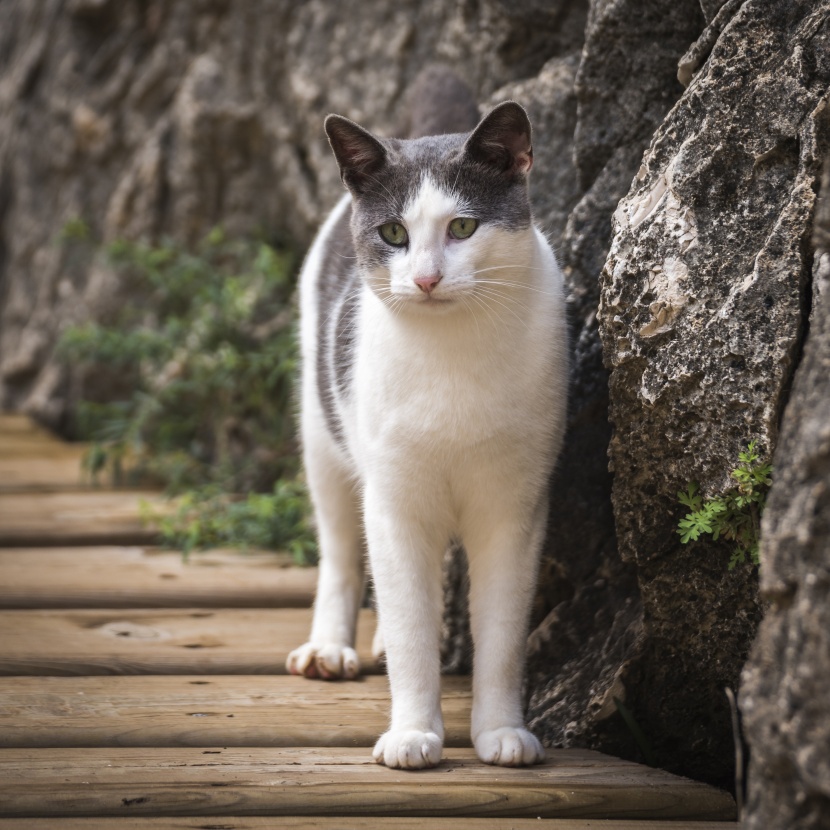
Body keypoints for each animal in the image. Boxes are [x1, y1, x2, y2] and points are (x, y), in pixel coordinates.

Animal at [288, 75, 572, 772]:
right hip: (322, 434)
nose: (425, 278)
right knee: (341, 550)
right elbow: (411, 625)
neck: (453, 357)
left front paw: (501, 732)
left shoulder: (514, 508)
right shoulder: (394, 502)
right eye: (393, 232)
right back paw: (331, 648)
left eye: (463, 227)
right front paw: (414, 732)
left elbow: (501, 634)